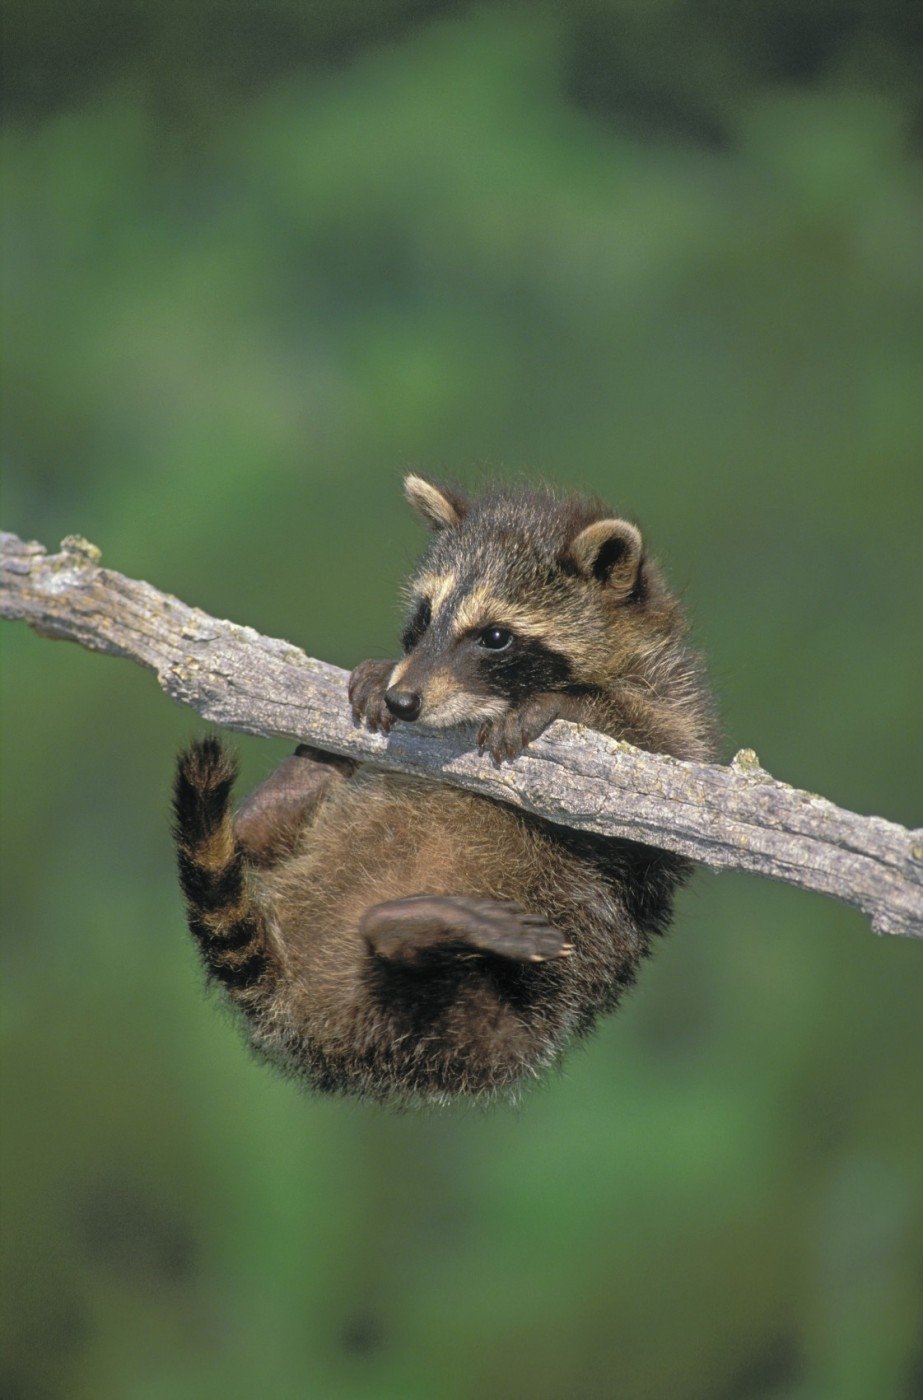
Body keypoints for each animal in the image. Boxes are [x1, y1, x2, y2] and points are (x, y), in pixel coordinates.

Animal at [175, 481, 722, 1103]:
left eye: (495, 637)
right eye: (424, 615)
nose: (402, 700)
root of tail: (291, 1002)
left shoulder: (676, 715)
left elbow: (665, 762)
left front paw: (569, 701)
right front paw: (381, 674)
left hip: (486, 1025)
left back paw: (405, 925)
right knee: (251, 832)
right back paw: (301, 781)